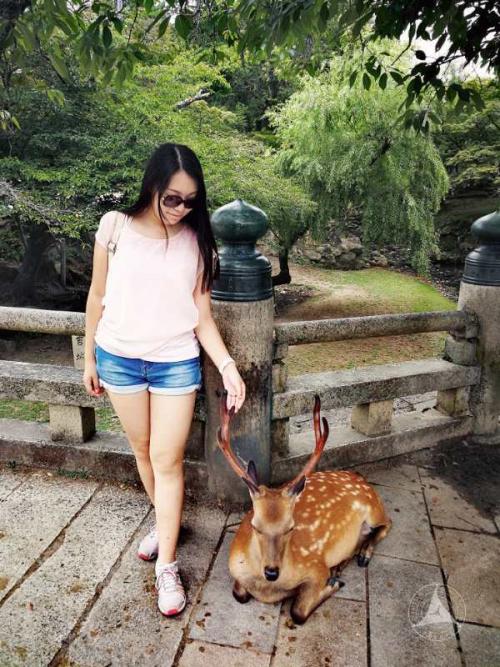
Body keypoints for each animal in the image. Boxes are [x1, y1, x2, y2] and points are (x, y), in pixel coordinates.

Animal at [217, 393, 392, 624]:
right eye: (255, 526)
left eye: (291, 527)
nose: (271, 572)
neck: (267, 589)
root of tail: (360, 478)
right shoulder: (235, 570)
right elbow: (240, 594)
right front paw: (335, 576)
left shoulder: (316, 566)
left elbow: (298, 612)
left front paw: (333, 583)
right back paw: (344, 562)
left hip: (374, 507)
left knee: (387, 523)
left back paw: (362, 556)